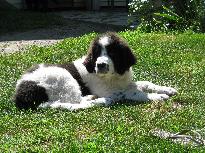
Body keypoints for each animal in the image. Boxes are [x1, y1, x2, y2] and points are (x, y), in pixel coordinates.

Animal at [13, 32, 177, 111]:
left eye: (112, 53)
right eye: (97, 53)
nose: (100, 65)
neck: (113, 76)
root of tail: (20, 95)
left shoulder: (124, 82)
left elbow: (145, 83)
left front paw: (167, 89)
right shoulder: (109, 90)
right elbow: (133, 93)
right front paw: (157, 96)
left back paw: (91, 97)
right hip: (63, 78)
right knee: (75, 104)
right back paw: (101, 101)